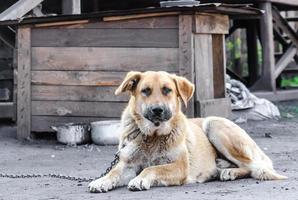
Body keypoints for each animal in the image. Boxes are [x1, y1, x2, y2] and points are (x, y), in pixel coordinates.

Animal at [88, 71, 286, 193]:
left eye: (167, 90)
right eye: (145, 91)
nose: (157, 110)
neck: (152, 136)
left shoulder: (179, 167)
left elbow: (153, 168)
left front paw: (140, 179)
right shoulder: (128, 164)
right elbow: (114, 172)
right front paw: (101, 180)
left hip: (214, 124)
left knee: (253, 167)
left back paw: (229, 171)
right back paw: (223, 167)